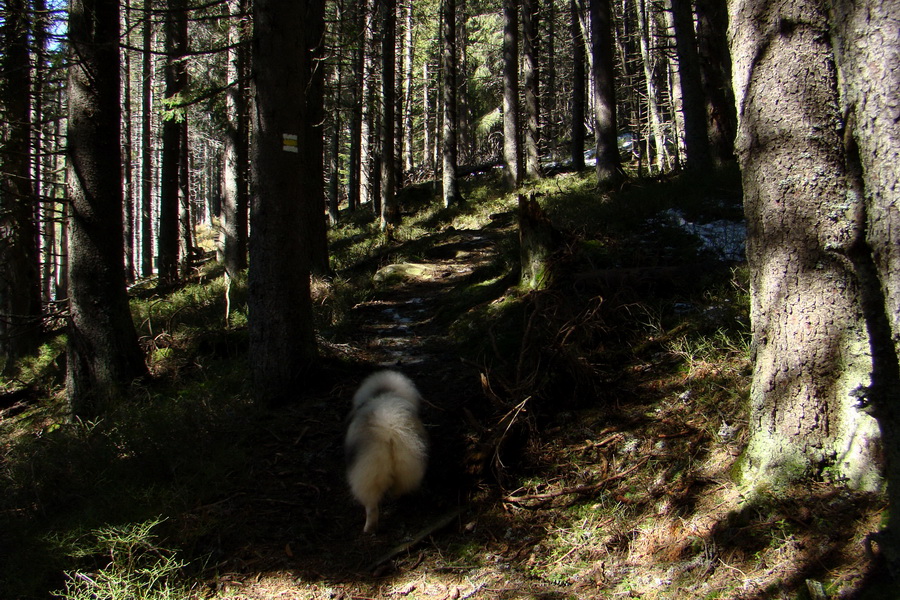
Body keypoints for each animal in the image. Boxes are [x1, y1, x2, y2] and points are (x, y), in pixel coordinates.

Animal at [344, 370, 428, 536]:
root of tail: (389, 429)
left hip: (366, 477)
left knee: (371, 507)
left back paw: (368, 529)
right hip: (407, 467)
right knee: (398, 489)